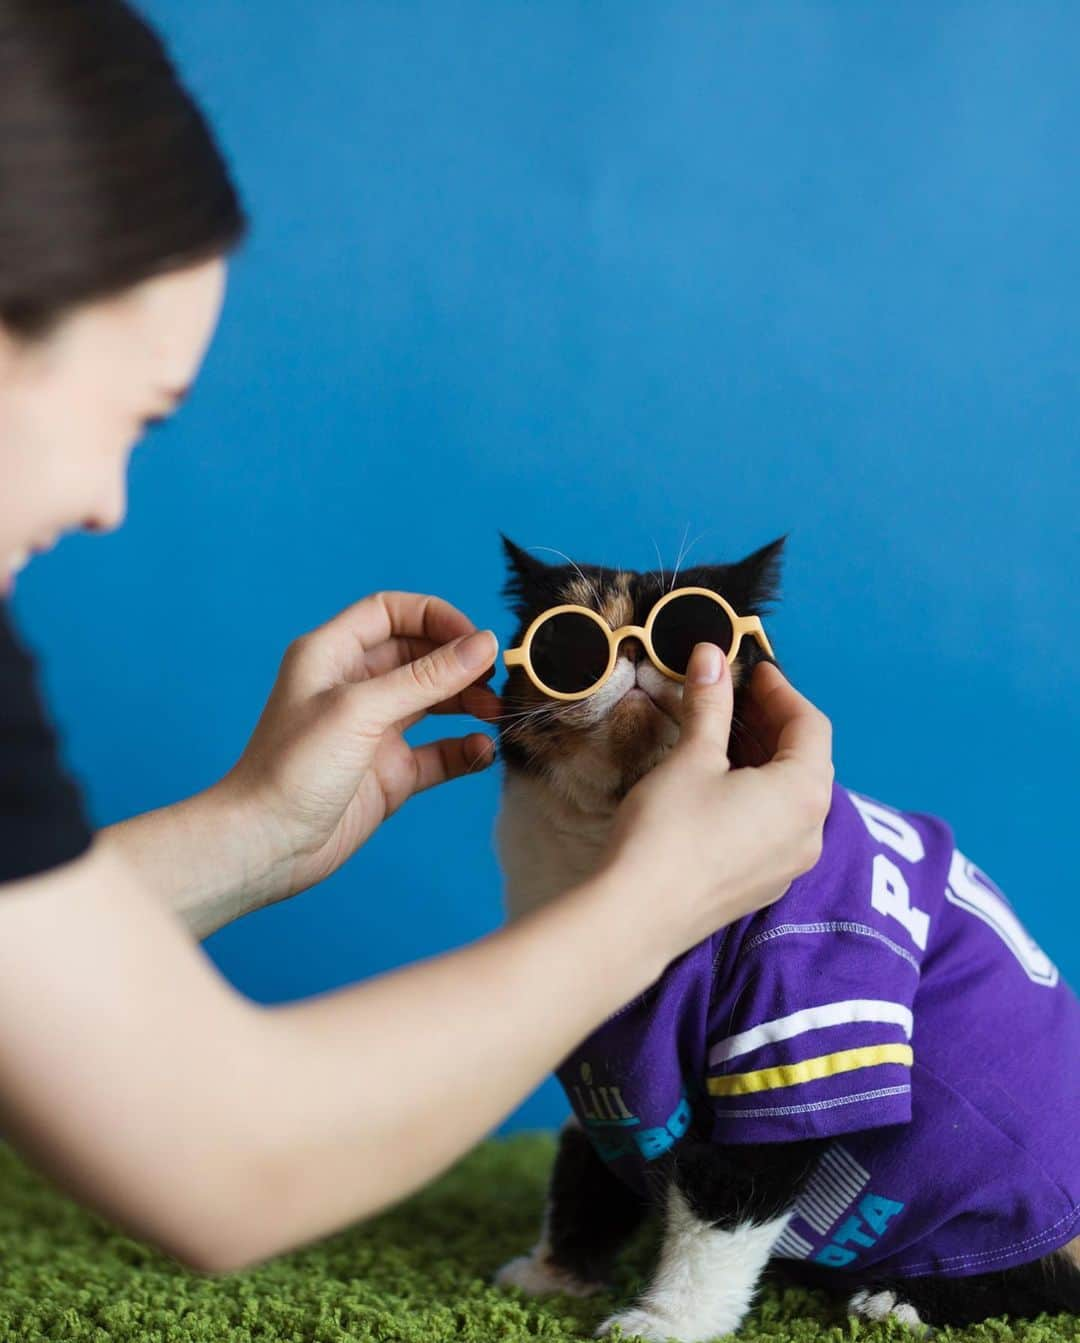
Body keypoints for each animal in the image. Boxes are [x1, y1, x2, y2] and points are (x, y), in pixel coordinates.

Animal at [491, 529, 1080, 1337]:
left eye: (697, 632)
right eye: (568, 643)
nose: (635, 651)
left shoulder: (798, 1023)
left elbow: (720, 1218)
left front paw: (665, 1322)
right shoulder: (596, 1048)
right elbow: (583, 1169)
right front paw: (553, 1275)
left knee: (1045, 1280)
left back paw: (899, 1300)